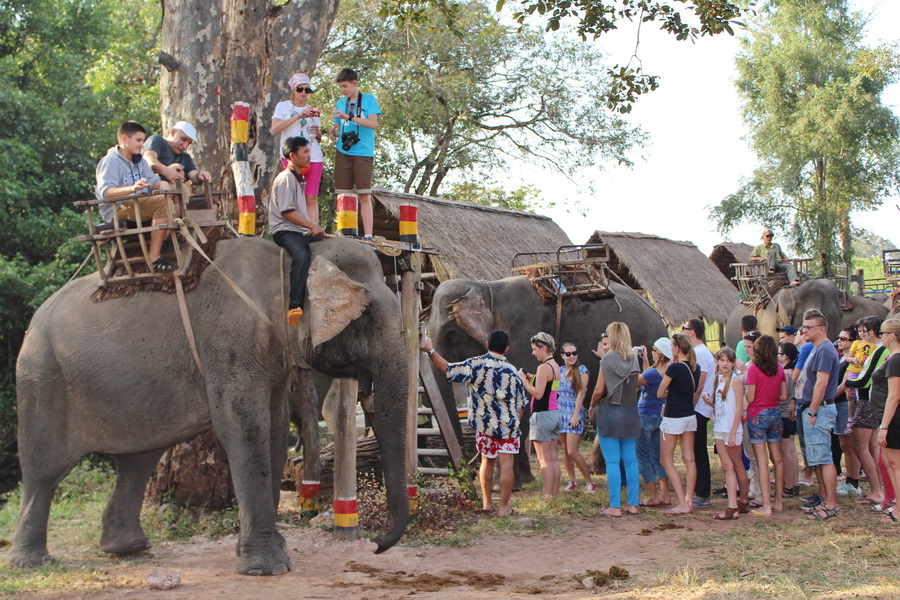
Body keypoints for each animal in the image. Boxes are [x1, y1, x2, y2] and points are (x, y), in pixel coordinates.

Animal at [9, 237, 412, 576]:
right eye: (366, 314)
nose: (377, 545)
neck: (287, 261)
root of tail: (35, 318)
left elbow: (275, 428)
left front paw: (267, 551)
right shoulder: (231, 340)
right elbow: (245, 428)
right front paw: (266, 569)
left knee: (137, 462)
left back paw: (128, 548)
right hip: (42, 377)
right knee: (44, 468)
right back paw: (32, 563)